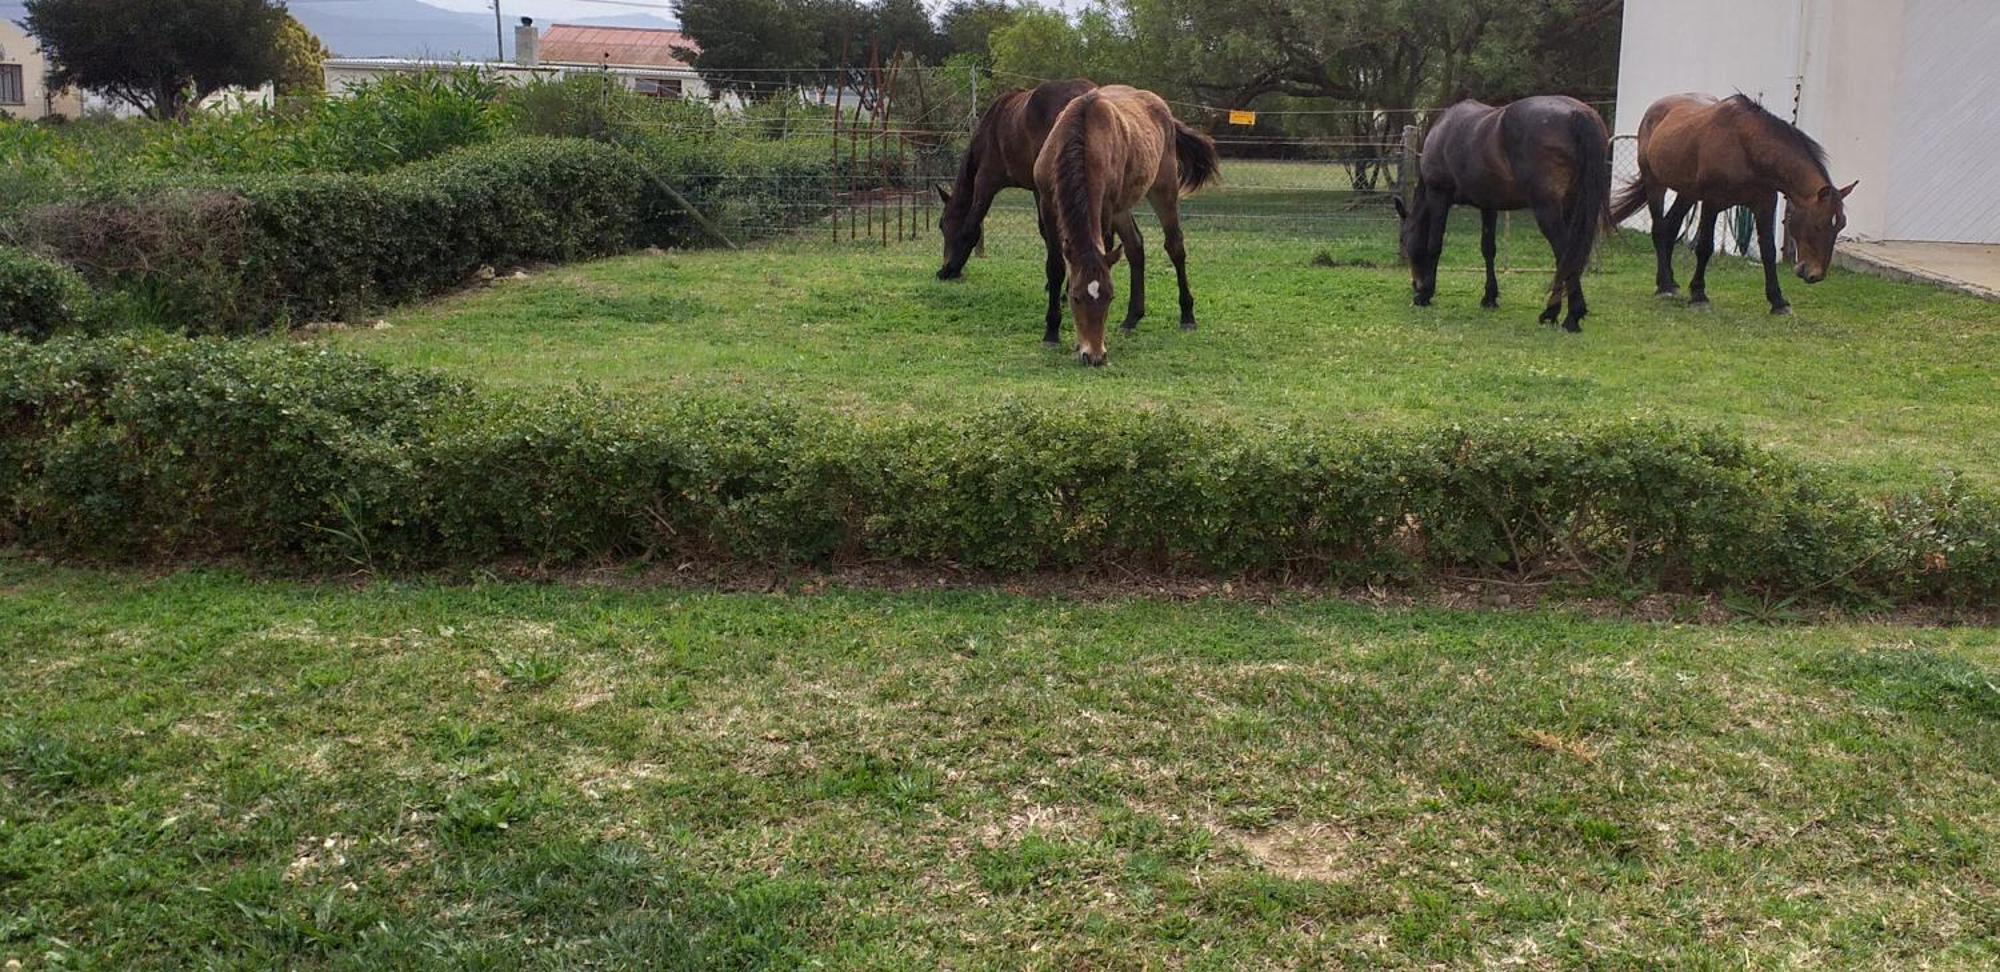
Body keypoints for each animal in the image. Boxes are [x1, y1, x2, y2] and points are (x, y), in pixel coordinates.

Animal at [928, 80, 1152, 338]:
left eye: (942, 225)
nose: (945, 265)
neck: (993, 126)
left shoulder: (986, 180)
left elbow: (971, 226)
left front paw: (952, 268)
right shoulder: (1037, 189)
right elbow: (1047, 234)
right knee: (1132, 241)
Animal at [1032, 85, 1216, 366]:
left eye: (1110, 297)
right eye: (1075, 297)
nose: (1094, 356)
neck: (1083, 135)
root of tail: (1163, 109)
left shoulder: (1105, 209)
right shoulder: (1048, 204)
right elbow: (1055, 268)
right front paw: (1051, 332)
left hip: (1162, 189)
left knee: (1175, 246)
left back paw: (1187, 315)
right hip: (1122, 208)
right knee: (1135, 247)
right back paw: (1132, 318)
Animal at [1400, 98, 1616, 334]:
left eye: (1405, 242)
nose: (1415, 284)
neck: (1444, 129)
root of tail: (1577, 113)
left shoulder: (1438, 194)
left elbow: (1434, 245)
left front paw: (1425, 294)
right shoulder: (1488, 204)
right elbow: (1488, 249)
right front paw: (1489, 297)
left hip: (1547, 210)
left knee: (1564, 253)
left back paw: (1567, 316)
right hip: (1572, 207)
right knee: (1568, 257)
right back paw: (1556, 312)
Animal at [1608, 93, 1856, 314]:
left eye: (1840, 225)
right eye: (1818, 225)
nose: (1816, 275)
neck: (1746, 147)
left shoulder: (1765, 203)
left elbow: (1768, 250)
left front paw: (1778, 301)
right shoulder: (1711, 202)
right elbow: (1705, 247)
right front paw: (1698, 295)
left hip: (1687, 193)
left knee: (1670, 228)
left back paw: (1670, 282)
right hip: (1655, 183)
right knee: (1660, 229)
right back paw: (1664, 287)